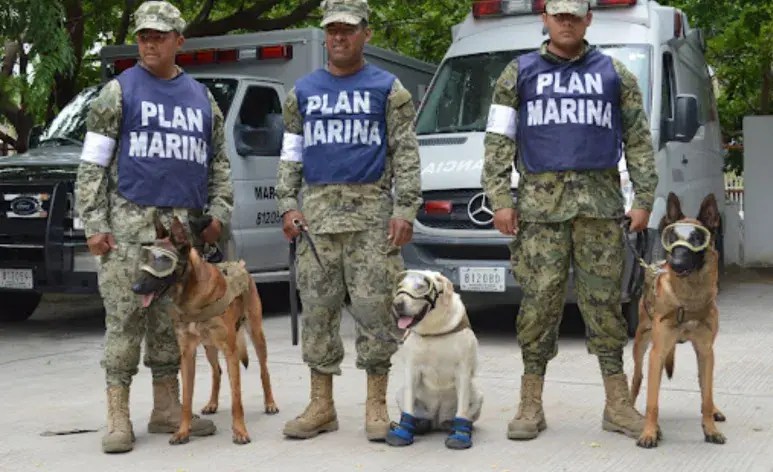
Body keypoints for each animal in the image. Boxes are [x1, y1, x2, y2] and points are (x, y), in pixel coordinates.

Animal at [132, 216, 278, 444]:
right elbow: (187, 398)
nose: (135, 288)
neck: (191, 297)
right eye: (146, 259)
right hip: (209, 347)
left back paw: (270, 403)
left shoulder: (230, 351)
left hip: (255, 333)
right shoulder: (187, 354)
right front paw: (183, 431)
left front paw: (240, 431)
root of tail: (241, 266)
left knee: (264, 370)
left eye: (162, 262)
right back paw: (212, 403)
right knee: (216, 372)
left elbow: (236, 398)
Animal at [386, 270, 482, 450]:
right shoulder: (412, 369)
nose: (397, 304)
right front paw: (403, 432)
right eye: (400, 287)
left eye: (420, 287)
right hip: (400, 393)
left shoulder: (463, 370)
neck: (433, 330)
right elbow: (408, 407)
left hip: (478, 396)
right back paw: (420, 424)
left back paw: (455, 425)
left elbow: (463, 408)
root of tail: (437, 420)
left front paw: (460, 435)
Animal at [632, 193, 724, 450]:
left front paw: (710, 429)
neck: (688, 300)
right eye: (671, 238)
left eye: (697, 239)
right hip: (641, 344)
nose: (675, 264)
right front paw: (649, 433)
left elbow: (706, 395)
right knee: (637, 378)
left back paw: (714, 410)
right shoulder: (658, 352)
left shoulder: (706, 351)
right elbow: (652, 401)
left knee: (705, 387)